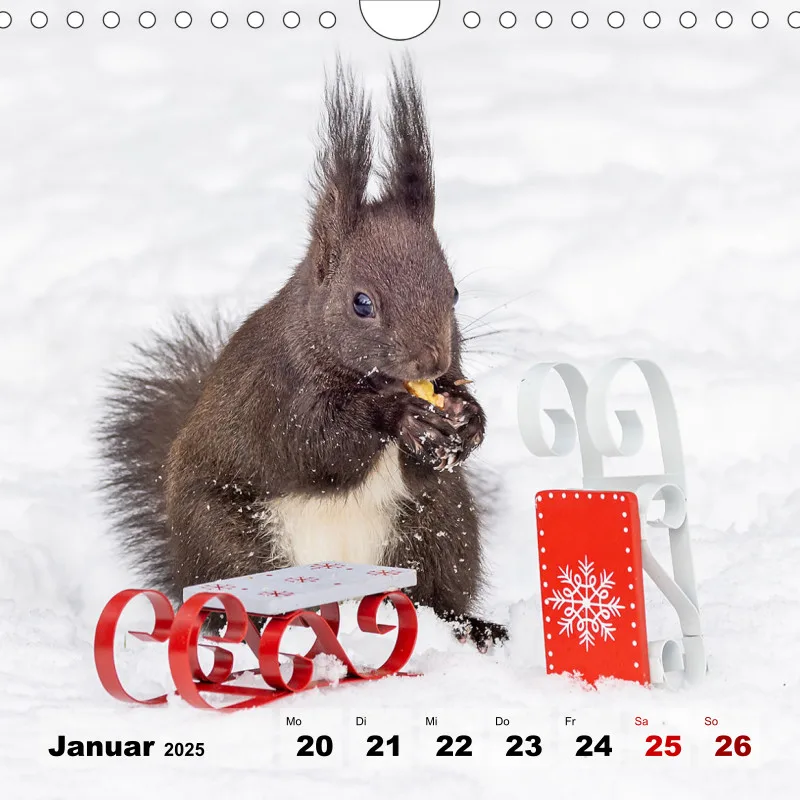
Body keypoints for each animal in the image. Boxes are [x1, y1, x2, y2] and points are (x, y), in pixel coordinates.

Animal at [97, 60, 507, 650]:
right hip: (228, 540)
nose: (431, 365)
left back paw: (469, 627)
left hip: (439, 527)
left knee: (433, 594)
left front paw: (468, 421)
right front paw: (398, 415)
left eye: (453, 292)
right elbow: (312, 446)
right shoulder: (274, 389)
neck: (364, 377)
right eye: (361, 302)